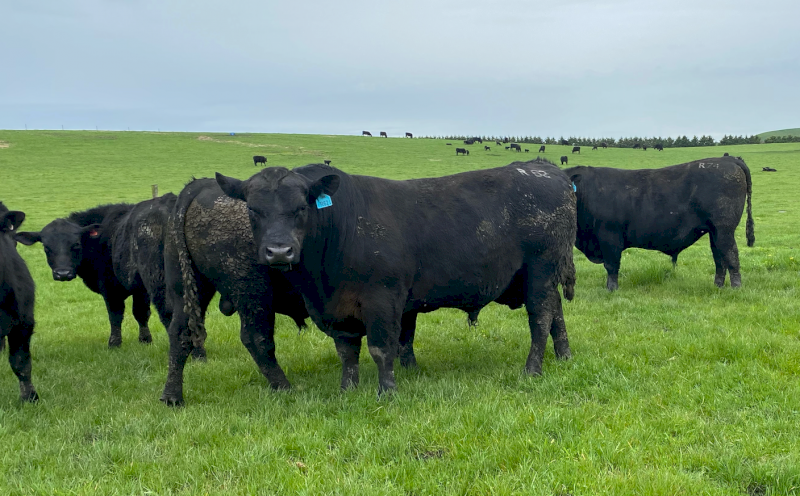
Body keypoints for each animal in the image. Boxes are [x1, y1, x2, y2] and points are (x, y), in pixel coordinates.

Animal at [16, 197, 207, 356]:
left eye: (76, 244)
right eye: (46, 247)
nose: (63, 273)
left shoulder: (110, 287)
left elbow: (116, 314)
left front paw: (114, 344)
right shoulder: (140, 289)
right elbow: (141, 313)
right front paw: (145, 340)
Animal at [159, 178, 309, 406]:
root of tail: (200, 185)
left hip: (189, 290)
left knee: (180, 333)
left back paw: (172, 398)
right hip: (253, 293)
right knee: (256, 337)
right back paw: (285, 387)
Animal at [214, 160, 577, 395]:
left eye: (301, 208)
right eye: (252, 210)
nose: (279, 251)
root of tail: (549, 170)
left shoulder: (383, 299)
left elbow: (382, 348)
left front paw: (386, 391)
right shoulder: (337, 309)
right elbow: (347, 350)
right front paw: (347, 390)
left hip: (540, 269)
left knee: (541, 317)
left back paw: (532, 369)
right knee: (557, 312)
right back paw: (564, 356)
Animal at [565, 156, 754, 291]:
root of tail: (727, 159)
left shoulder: (609, 236)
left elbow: (611, 265)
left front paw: (611, 289)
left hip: (724, 230)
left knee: (731, 256)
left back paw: (736, 288)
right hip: (714, 232)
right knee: (719, 259)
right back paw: (718, 286)